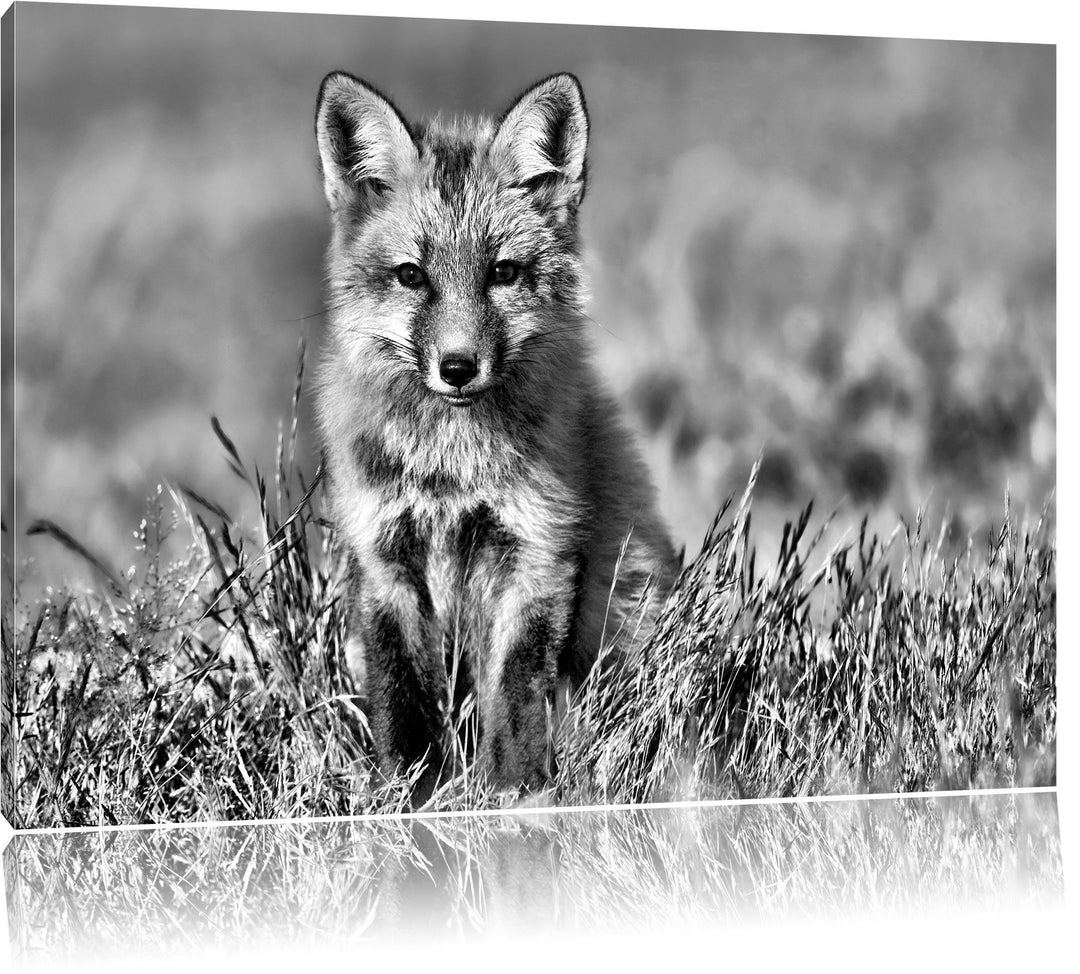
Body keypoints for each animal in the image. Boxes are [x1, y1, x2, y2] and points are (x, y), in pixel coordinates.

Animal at [313, 70, 678, 798]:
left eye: (502, 273)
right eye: (412, 276)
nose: (457, 368)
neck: (451, 471)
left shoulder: (537, 549)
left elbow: (513, 694)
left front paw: (514, 801)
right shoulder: (383, 556)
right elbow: (402, 701)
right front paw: (409, 801)